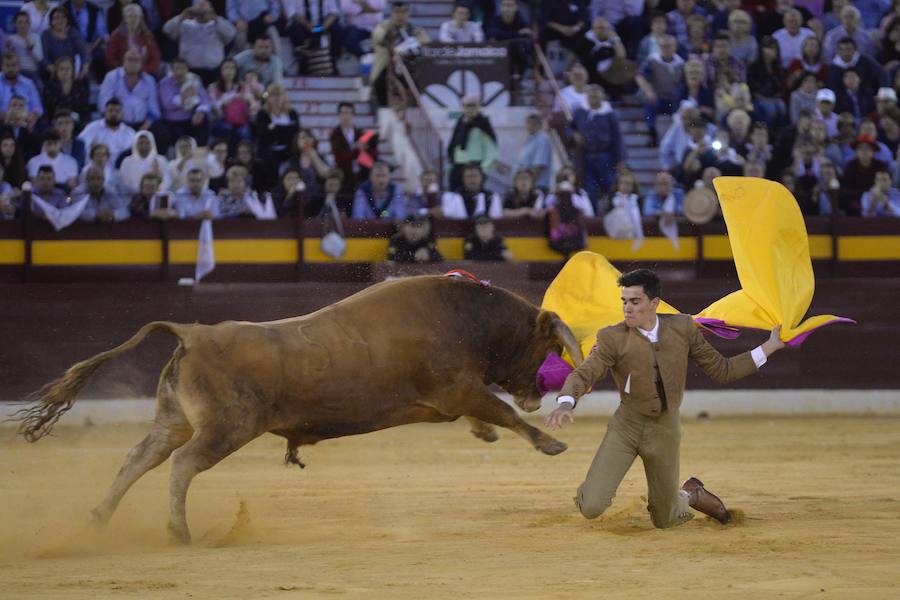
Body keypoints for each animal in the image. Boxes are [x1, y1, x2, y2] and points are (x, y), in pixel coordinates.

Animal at [12, 276, 584, 544]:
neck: (466, 316)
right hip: (228, 427)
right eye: (546, 348)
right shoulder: (457, 388)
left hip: (173, 420)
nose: (538, 393)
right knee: (181, 465)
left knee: (139, 458)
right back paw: (178, 532)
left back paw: (98, 518)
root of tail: (192, 332)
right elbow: (505, 412)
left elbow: (491, 413)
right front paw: (551, 441)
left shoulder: (453, 396)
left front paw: (486, 434)